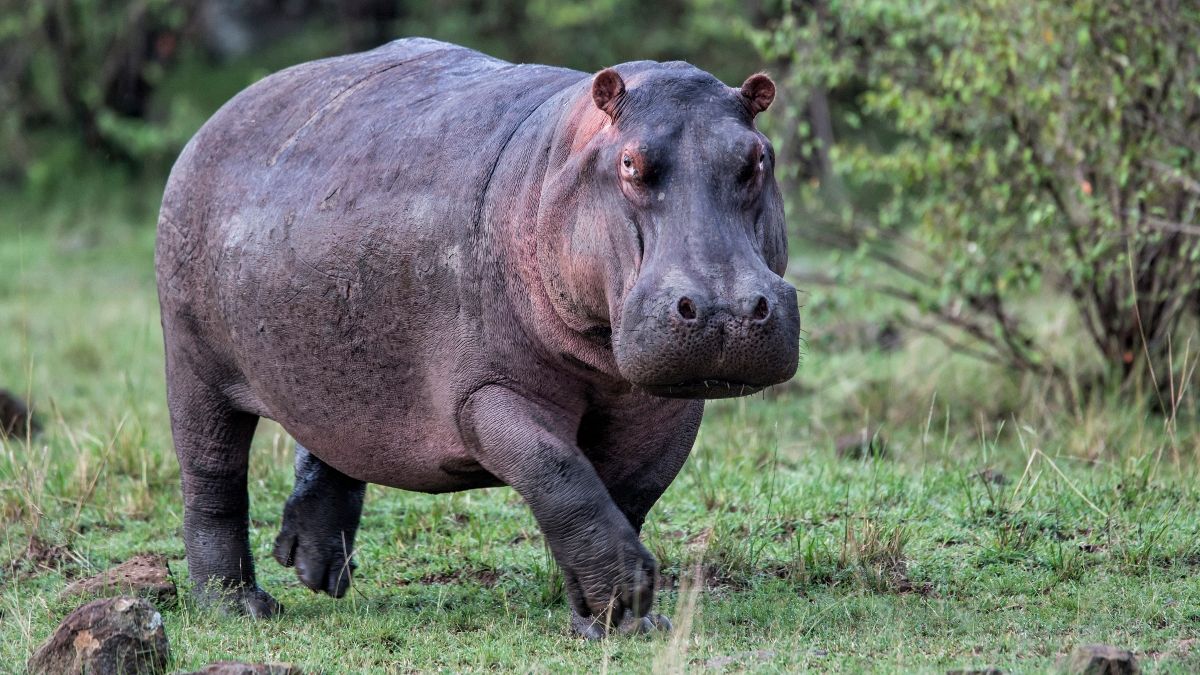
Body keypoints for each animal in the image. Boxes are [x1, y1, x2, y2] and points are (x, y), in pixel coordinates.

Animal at [154, 38, 801, 634]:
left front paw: (612, 618)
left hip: (338, 360)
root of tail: (220, 115)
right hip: (193, 361)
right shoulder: (485, 392)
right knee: (213, 479)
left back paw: (316, 570)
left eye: (757, 159)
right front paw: (626, 602)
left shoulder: (664, 406)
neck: (557, 164)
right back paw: (240, 607)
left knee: (334, 435)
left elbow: (624, 494)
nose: (725, 310)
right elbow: (561, 475)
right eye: (630, 164)